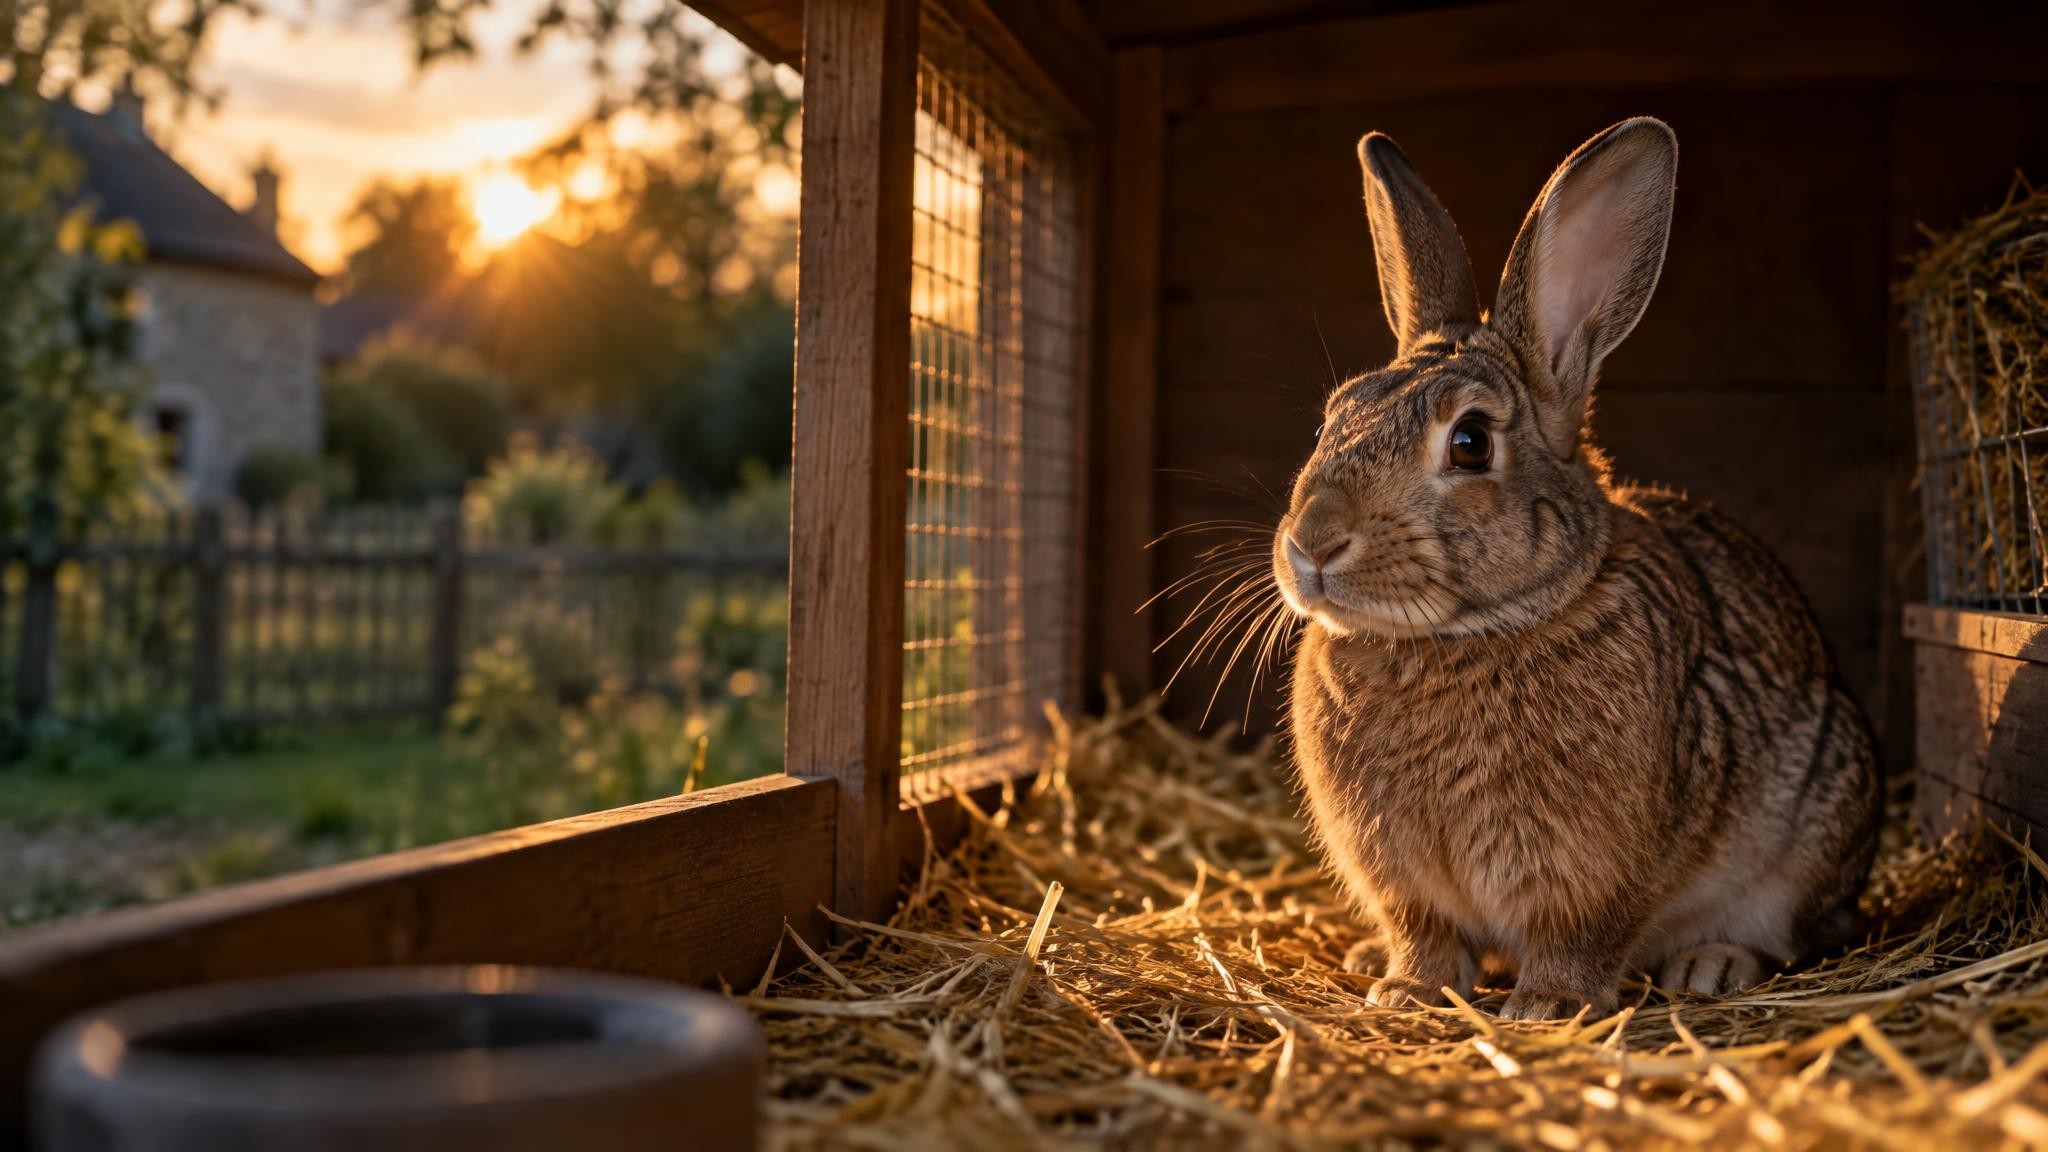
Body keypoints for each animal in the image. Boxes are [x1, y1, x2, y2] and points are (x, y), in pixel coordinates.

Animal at [1273, 118, 1883, 1020]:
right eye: (1331, 421)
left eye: (1470, 443)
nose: (1313, 543)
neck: (1464, 635)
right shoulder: (1406, 886)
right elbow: (1426, 937)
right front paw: (1405, 991)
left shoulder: (1599, 878)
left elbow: (1580, 937)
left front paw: (1546, 1008)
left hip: (1812, 828)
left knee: (1794, 933)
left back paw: (1712, 965)